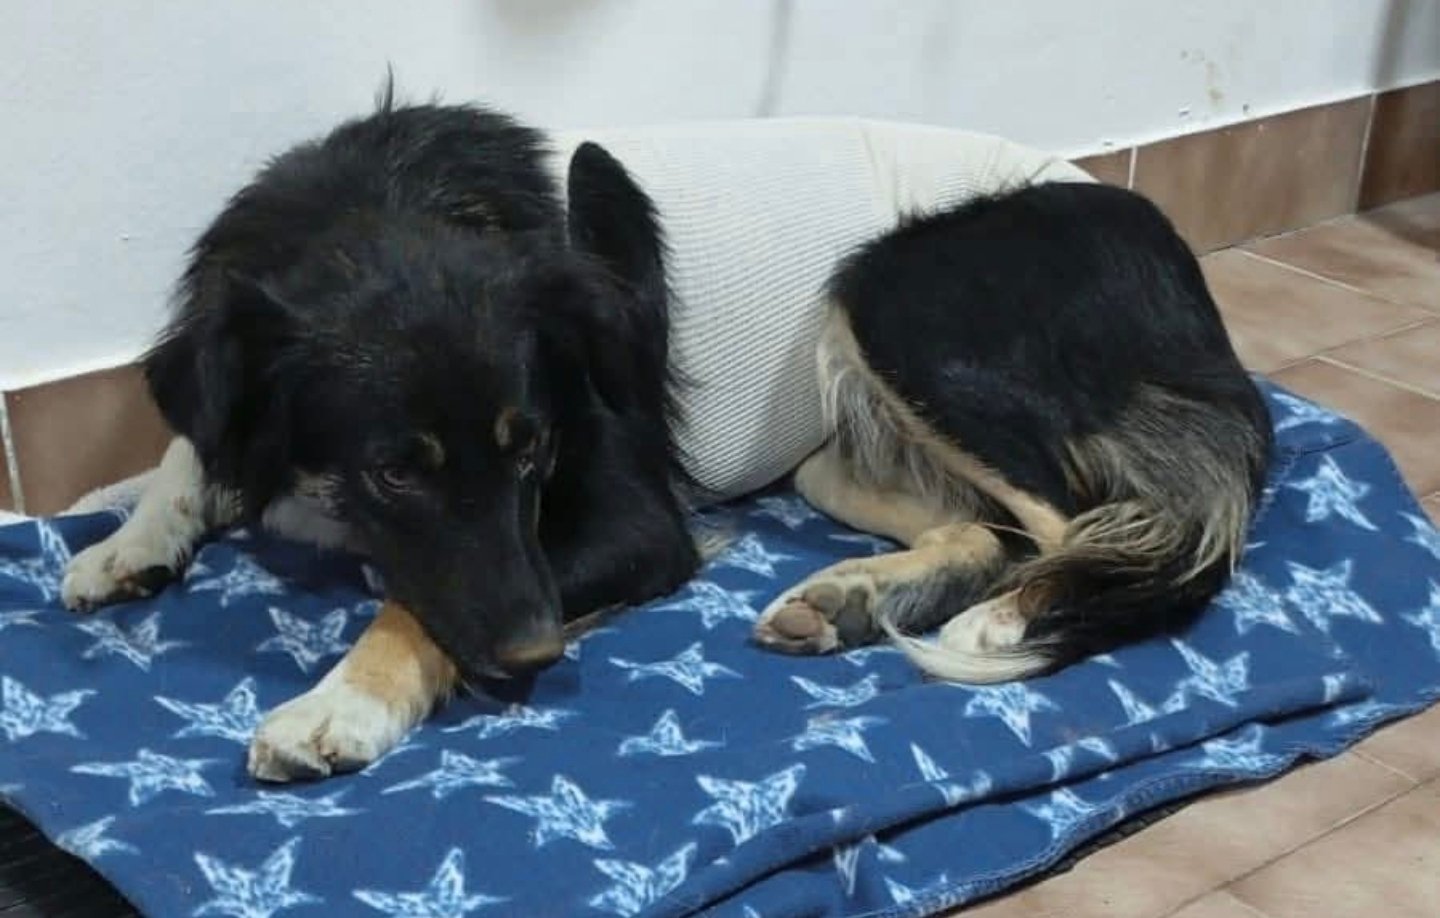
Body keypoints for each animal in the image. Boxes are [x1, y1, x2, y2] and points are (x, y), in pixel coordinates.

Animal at [62, 94, 1270, 783]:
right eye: (396, 470)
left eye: (533, 450)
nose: (539, 658)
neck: (393, 209)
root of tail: (1172, 260)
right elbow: (188, 447)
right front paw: (128, 542)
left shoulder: (634, 527)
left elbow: (417, 600)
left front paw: (339, 706)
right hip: (834, 452)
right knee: (990, 528)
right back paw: (850, 599)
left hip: (898, 296)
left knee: (1112, 530)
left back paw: (1005, 622)